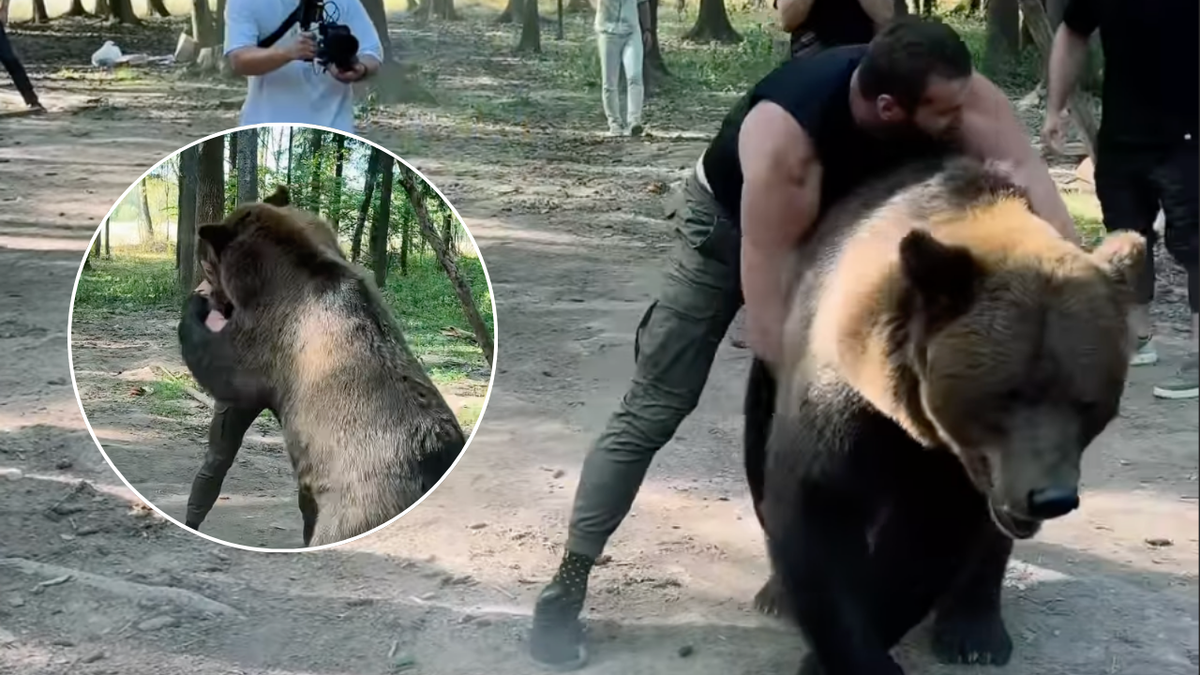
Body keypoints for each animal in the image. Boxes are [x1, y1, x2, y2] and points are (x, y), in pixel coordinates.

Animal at [178, 192, 466, 547]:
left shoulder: (270, 336)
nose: (203, 290)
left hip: (355, 506)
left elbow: (221, 367)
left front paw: (193, 312)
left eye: (207, 263)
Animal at [745, 156, 1144, 675]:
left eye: (1088, 402)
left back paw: (974, 631)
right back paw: (775, 595)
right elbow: (818, 507)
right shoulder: (843, 399)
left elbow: (926, 541)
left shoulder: (954, 468)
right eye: (1007, 394)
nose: (1050, 497)